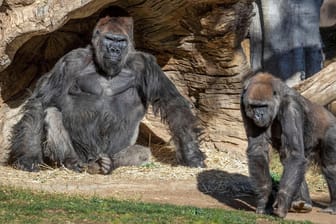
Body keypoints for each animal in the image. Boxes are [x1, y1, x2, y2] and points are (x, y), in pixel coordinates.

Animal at [240, 72, 336, 218]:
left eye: (263, 106)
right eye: (253, 106)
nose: (258, 115)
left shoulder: (291, 106)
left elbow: (294, 154)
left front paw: (282, 201)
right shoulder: (243, 102)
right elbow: (258, 149)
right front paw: (265, 199)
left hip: (332, 131)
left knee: (330, 167)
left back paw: (333, 206)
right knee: (291, 161)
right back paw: (302, 202)